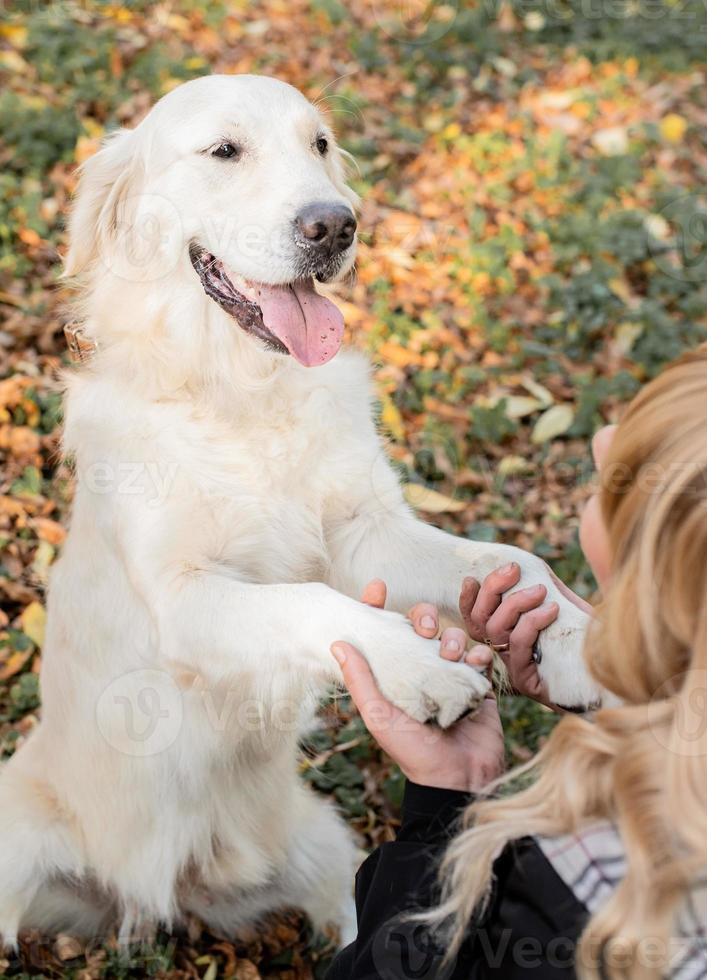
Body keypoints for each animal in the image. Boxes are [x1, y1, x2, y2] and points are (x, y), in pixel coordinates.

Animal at [0, 74, 596, 948]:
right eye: (224, 150)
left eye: (318, 144)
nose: (335, 225)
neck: (241, 392)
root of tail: (162, 898)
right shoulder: (181, 598)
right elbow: (307, 600)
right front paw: (420, 665)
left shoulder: (367, 531)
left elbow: (514, 561)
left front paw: (572, 642)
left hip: (328, 851)